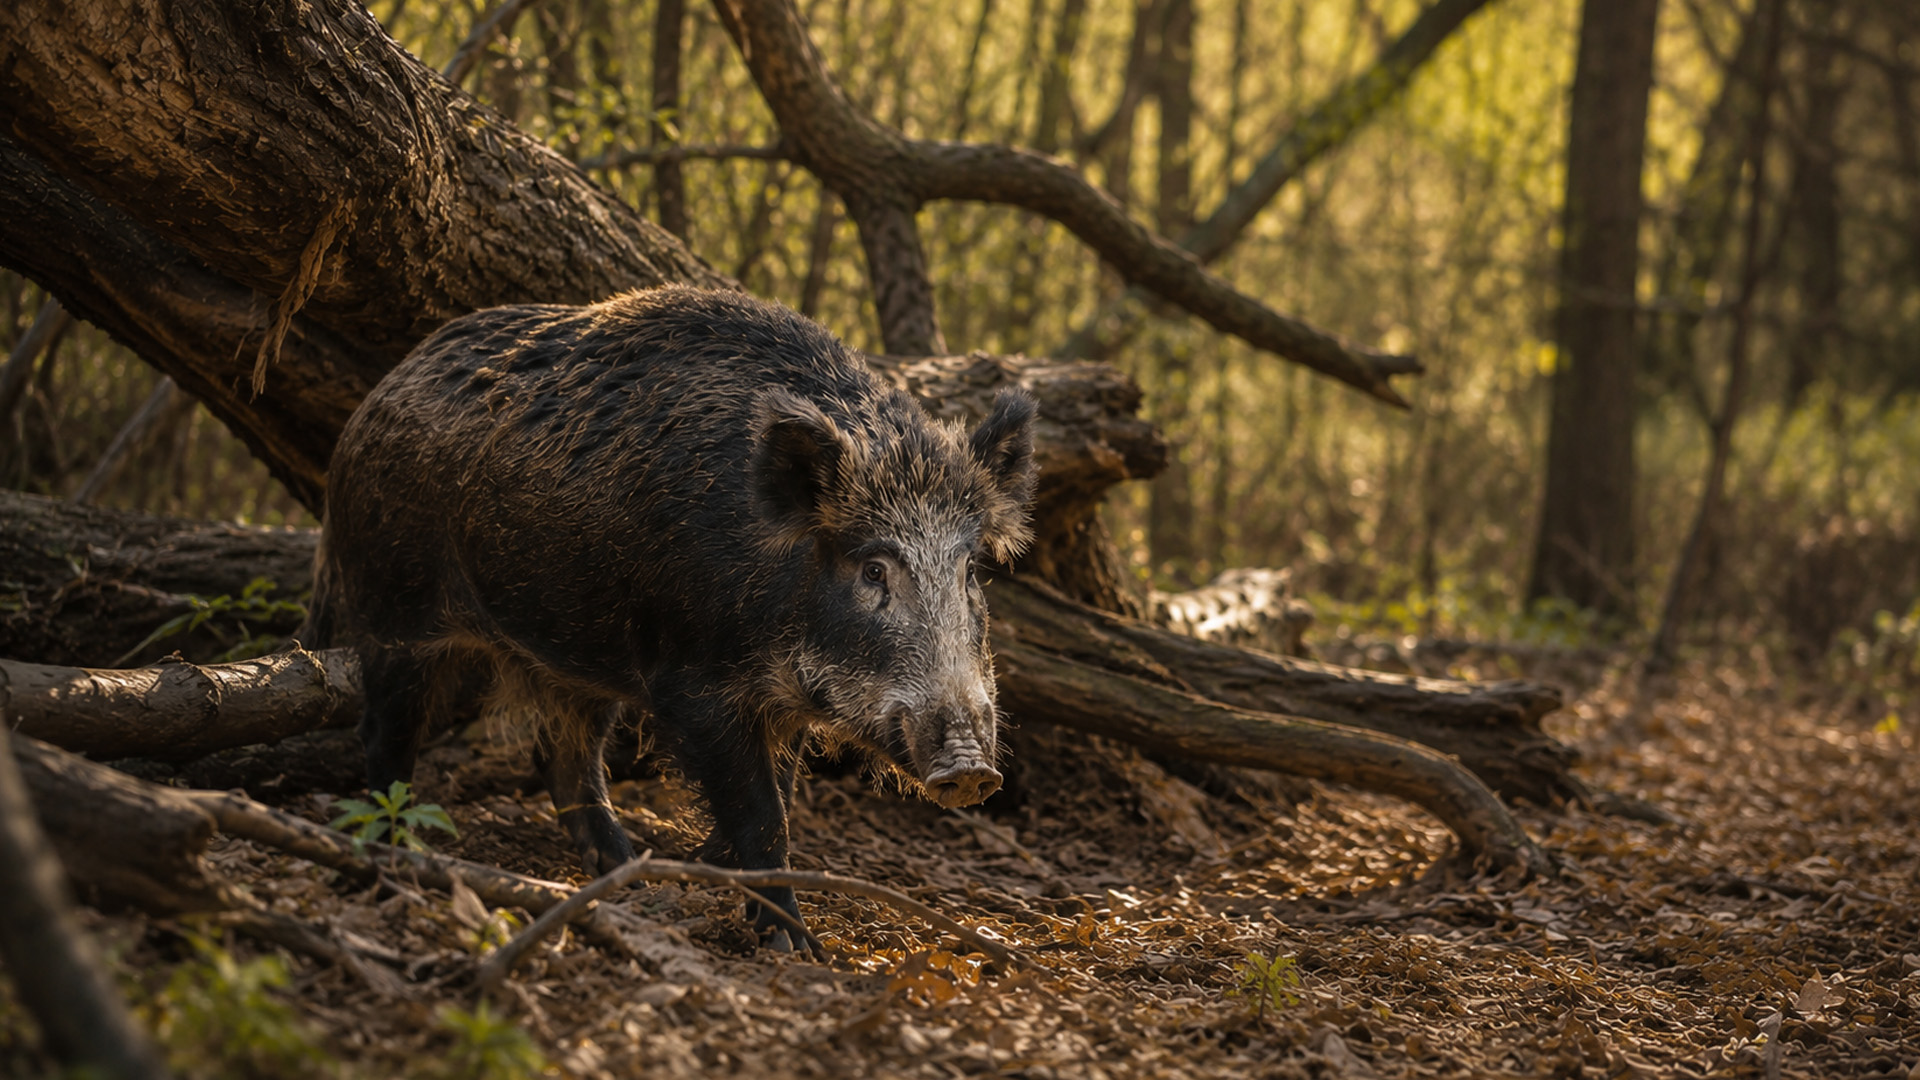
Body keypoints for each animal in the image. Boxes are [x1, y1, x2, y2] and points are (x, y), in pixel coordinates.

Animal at [305, 286, 1037, 947]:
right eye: (873, 570)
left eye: (970, 571)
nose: (973, 768)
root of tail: (372, 402)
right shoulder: (693, 685)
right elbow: (763, 812)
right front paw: (796, 948)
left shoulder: (779, 702)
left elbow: (782, 794)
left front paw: (716, 876)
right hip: (394, 606)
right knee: (386, 733)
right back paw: (403, 851)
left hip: (576, 646)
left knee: (562, 758)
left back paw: (628, 875)